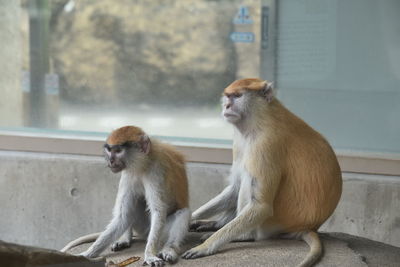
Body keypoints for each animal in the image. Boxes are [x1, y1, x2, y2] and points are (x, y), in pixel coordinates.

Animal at [62, 126, 191, 267]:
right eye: (109, 150)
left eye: (118, 151)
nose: (111, 160)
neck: (144, 162)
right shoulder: (128, 174)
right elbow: (123, 216)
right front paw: (86, 254)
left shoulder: (156, 171)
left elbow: (158, 211)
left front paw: (150, 254)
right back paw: (125, 239)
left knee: (183, 213)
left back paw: (169, 249)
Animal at [183, 78, 342, 267]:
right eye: (228, 96)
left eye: (238, 96)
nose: (227, 106)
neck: (261, 117)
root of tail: (306, 227)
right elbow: (234, 188)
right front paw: (188, 218)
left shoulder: (265, 145)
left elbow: (260, 205)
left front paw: (205, 246)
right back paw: (216, 224)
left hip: (272, 224)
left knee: (248, 185)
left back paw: (244, 236)